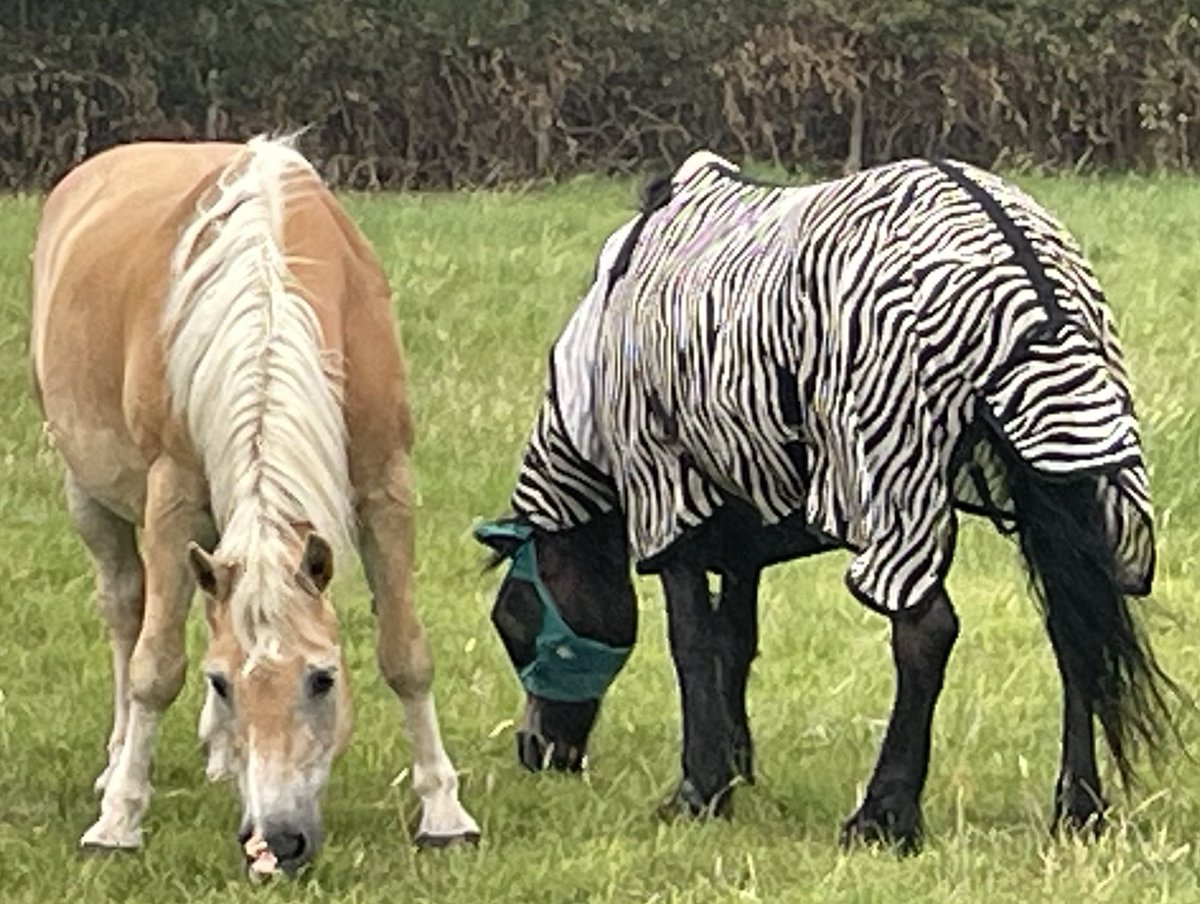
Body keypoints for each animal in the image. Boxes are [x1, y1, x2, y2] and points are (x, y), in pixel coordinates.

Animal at [475, 150, 1174, 850]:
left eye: (512, 618)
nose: (536, 750)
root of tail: (1022, 270)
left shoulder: (668, 495)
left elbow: (691, 642)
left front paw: (700, 790)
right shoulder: (740, 520)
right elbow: (734, 642)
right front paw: (736, 767)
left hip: (895, 479)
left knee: (927, 631)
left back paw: (883, 815)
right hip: (1068, 471)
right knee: (1075, 631)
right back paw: (1078, 808)